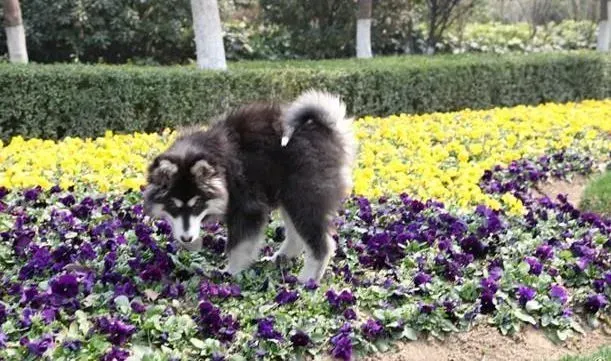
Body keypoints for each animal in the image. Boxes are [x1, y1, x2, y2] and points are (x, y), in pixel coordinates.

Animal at [142, 89, 356, 282]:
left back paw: (307, 279)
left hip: (303, 196)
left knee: (321, 243)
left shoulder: (246, 207)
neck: (220, 166)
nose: (186, 239)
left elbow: (238, 247)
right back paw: (281, 258)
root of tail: (329, 129)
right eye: (173, 205)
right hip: (289, 195)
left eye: (197, 204)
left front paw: (230, 272)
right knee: (296, 236)